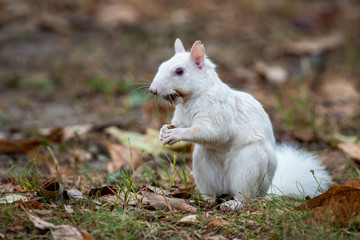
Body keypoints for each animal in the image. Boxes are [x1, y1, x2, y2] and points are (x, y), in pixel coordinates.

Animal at [149, 38, 332, 210]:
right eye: (162, 65)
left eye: (179, 71)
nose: (153, 90)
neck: (191, 100)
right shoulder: (181, 117)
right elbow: (177, 123)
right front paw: (164, 130)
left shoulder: (218, 112)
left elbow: (214, 132)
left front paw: (176, 134)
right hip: (203, 167)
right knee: (213, 192)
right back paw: (203, 200)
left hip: (249, 166)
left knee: (245, 196)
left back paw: (233, 204)